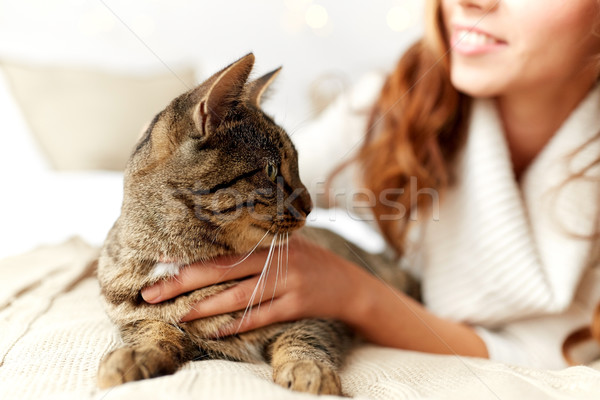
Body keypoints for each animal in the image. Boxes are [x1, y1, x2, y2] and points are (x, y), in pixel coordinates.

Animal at [98, 54, 418, 396]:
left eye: (296, 164)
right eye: (271, 169)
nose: (310, 207)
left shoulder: (321, 315)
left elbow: (302, 338)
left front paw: (309, 370)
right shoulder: (132, 317)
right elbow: (153, 330)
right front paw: (134, 356)